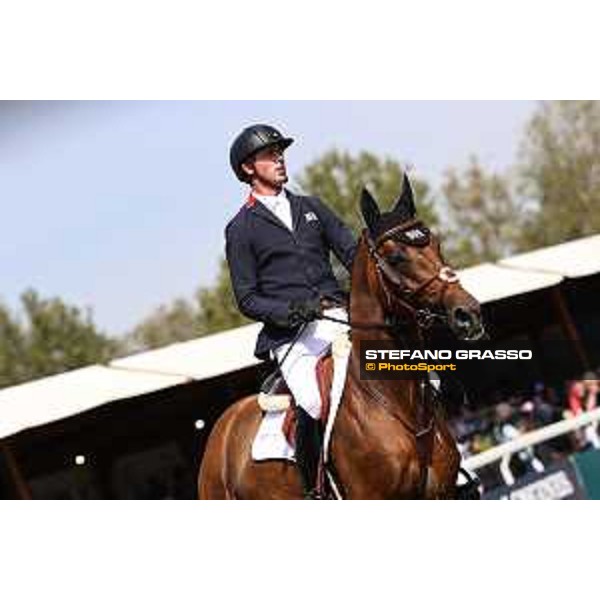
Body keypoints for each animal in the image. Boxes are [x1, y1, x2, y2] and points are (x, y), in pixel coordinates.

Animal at [199, 176, 486, 500]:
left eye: (436, 244)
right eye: (396, 257)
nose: (468, 314)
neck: (395, 399)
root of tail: (221, 430)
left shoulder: (441, 494)